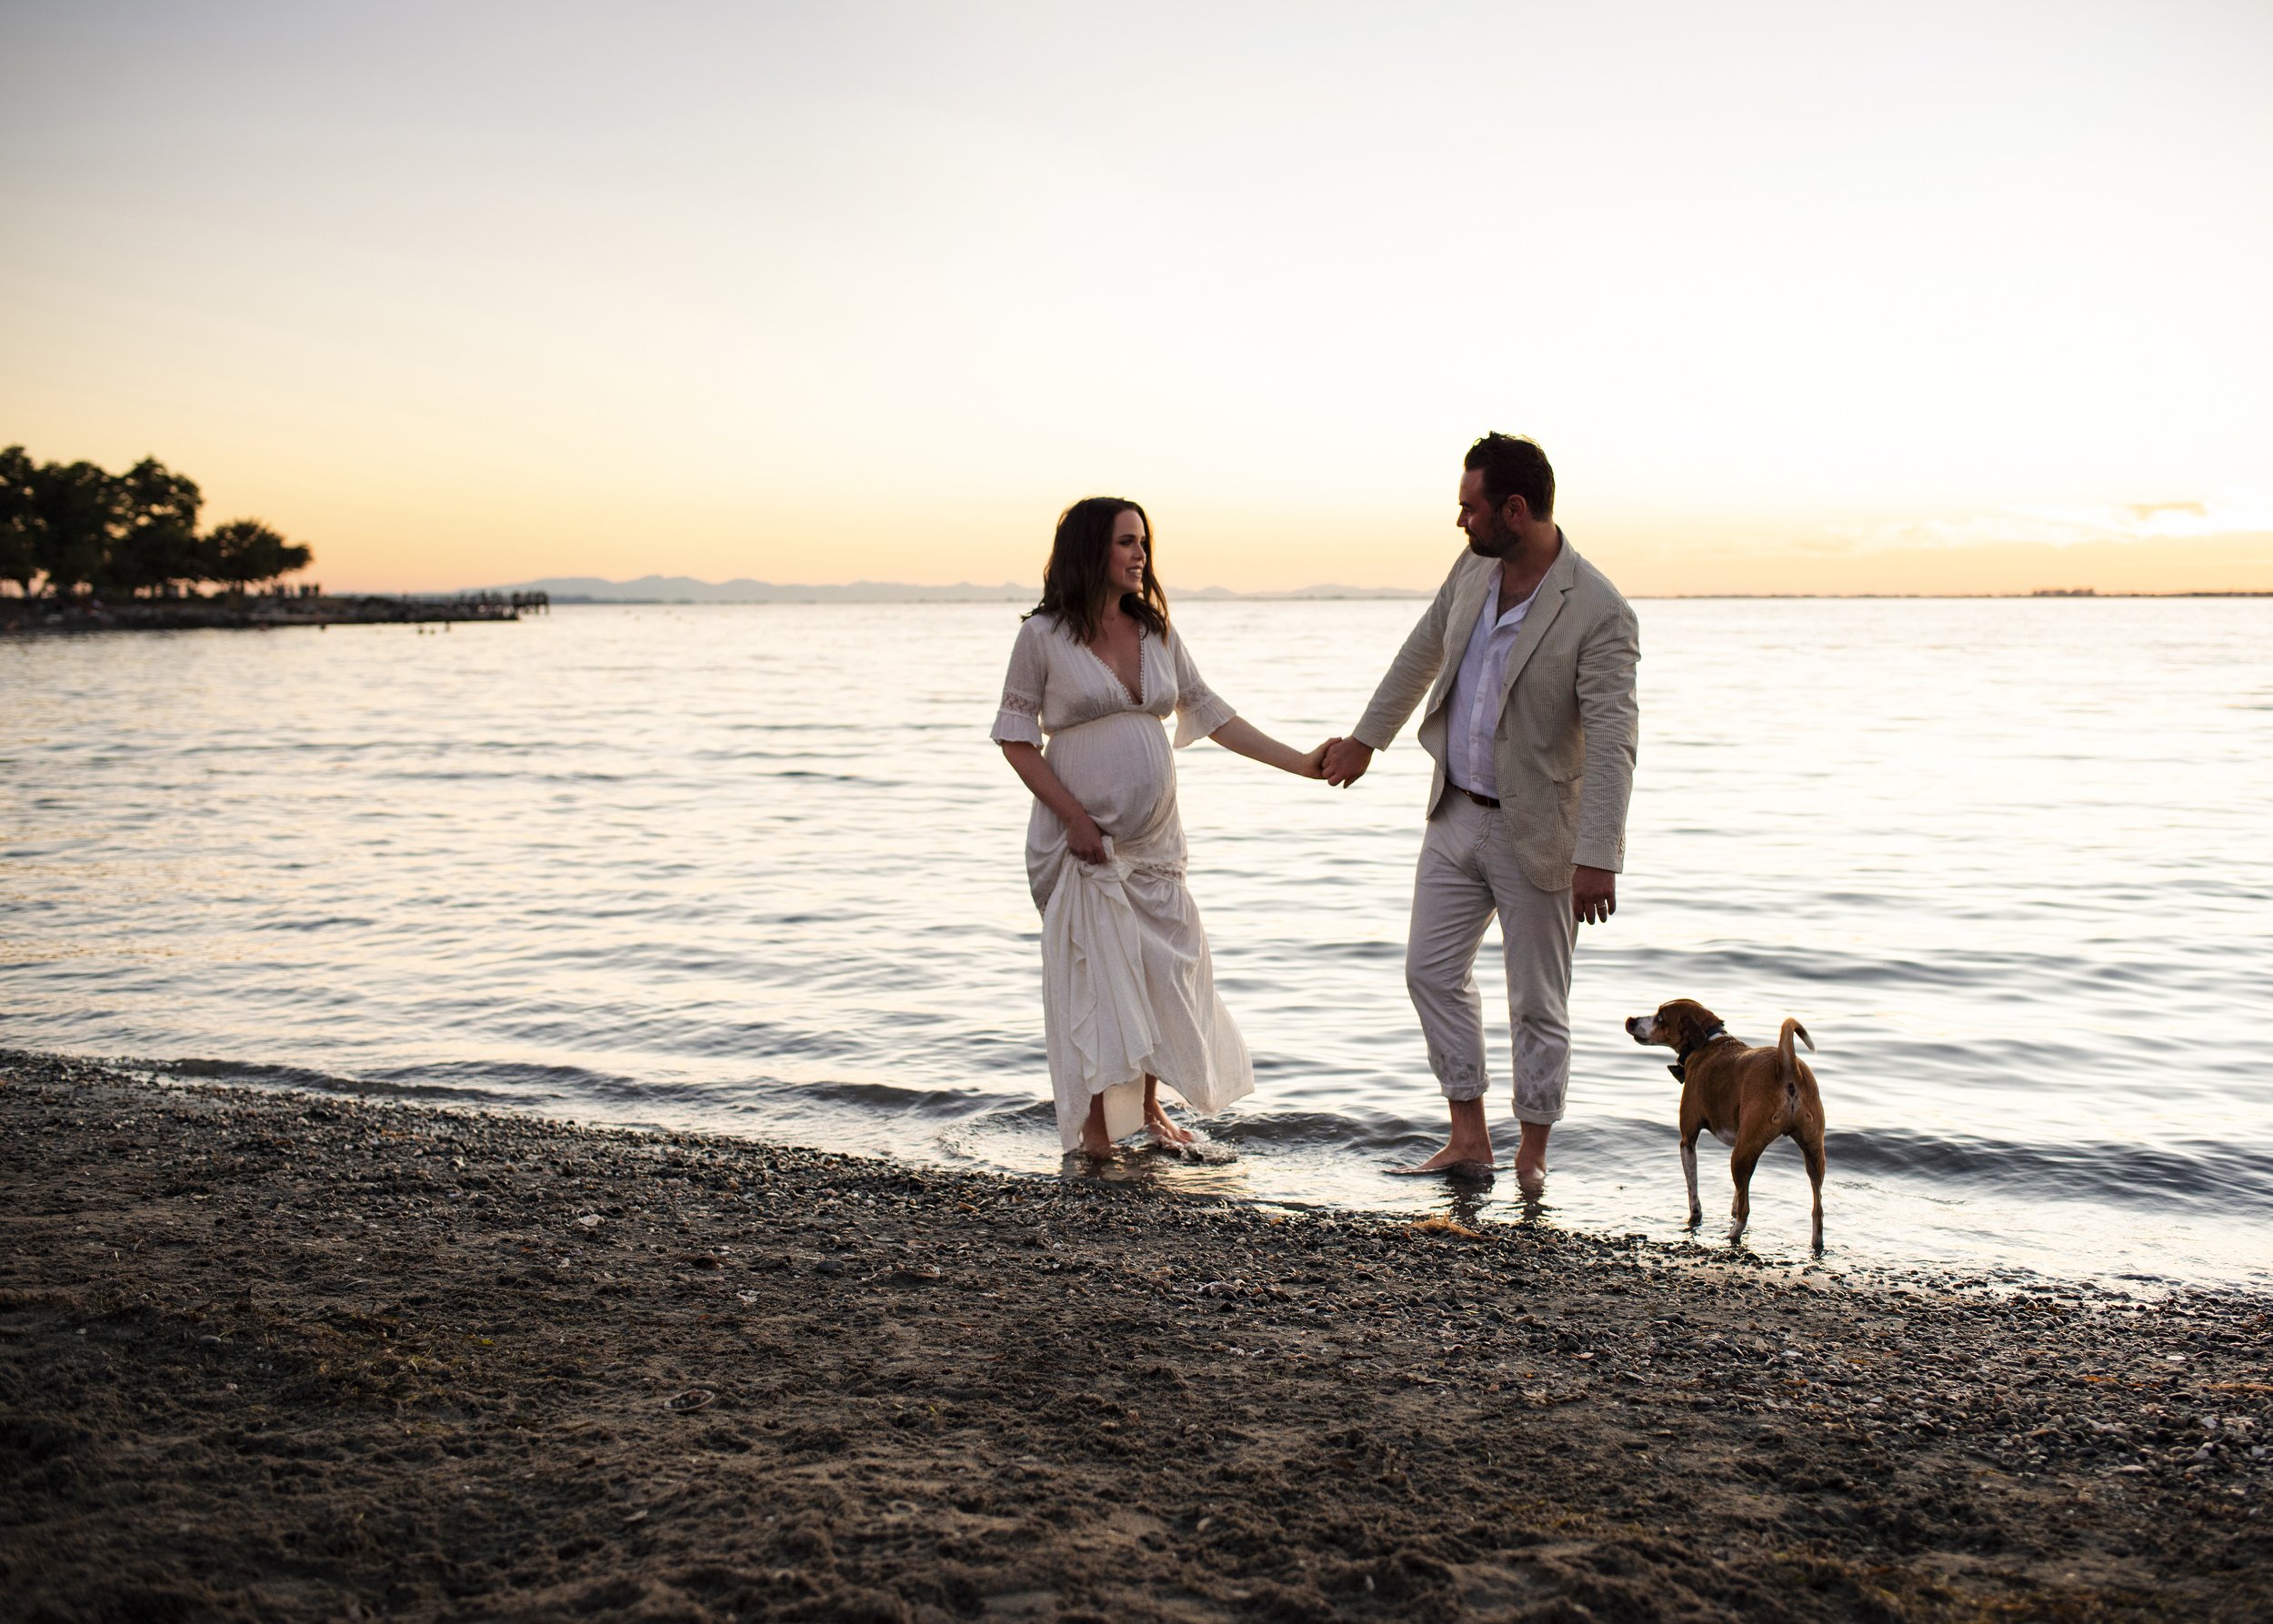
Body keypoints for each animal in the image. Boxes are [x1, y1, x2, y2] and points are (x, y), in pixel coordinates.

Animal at [1618, 991, 1827, 1246]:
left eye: (1660, 1017)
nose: (1631, 1019)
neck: (1708, 1041)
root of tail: (1787, 1068)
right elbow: (1738, 1194)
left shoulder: (1688, 1139)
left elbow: (1693, 1190)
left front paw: (1695, 1216)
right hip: (1812, 1151)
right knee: (1817, 1209)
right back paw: (1816, 1243)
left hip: (1741, 1154)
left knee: (1746, 1211)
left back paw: (1732, 1235)